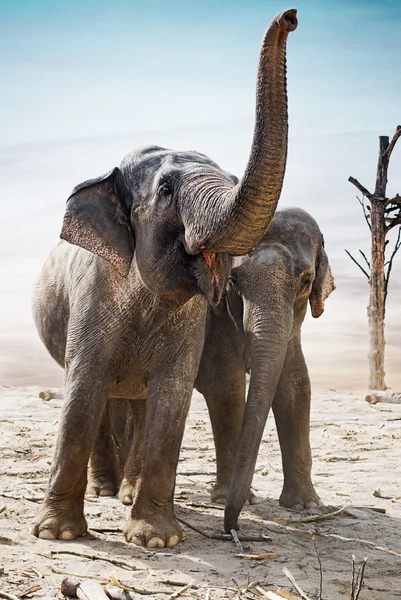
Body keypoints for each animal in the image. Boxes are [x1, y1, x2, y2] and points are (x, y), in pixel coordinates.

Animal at [30, 8, 296, 548]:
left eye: (231, 180)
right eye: (168, 189)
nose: (290, 16)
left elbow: (172, 396)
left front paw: (155, 539)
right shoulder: (92, 295)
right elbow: (83, 388)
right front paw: (57, 534)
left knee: (137, 402)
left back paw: (126, 494)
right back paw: (105, 493)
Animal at [194, 206, 334, 528]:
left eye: (306, 281)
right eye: (233, 281)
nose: (231, 526)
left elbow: (296, 387)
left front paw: (306, 505)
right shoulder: (215, 319)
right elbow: (226, 389)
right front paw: (233, 498)